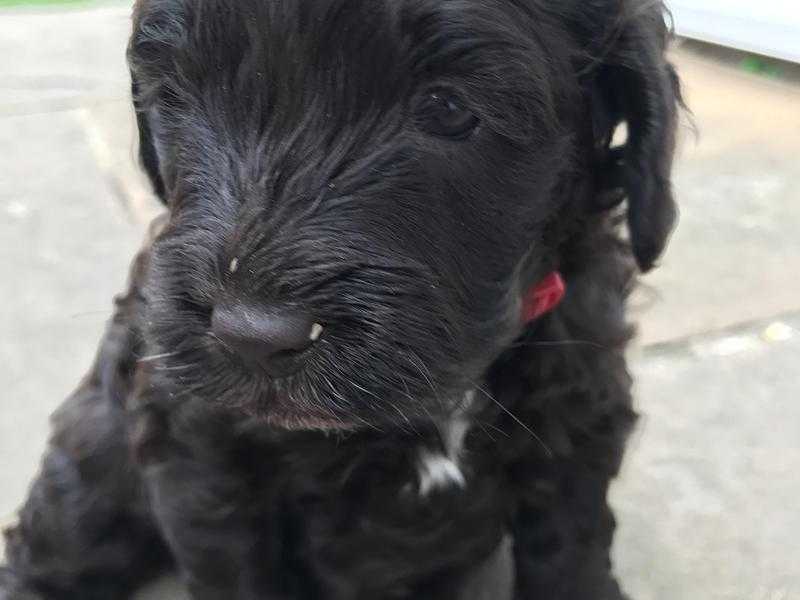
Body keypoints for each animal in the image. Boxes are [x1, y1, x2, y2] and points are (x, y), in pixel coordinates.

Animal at [1, 2, 680, 596]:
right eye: (176, 94)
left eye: (448, 107)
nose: (253, 337)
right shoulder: (201, 455)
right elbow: (236, 572)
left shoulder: (578, 426)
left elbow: (574, 554)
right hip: (93, 452)